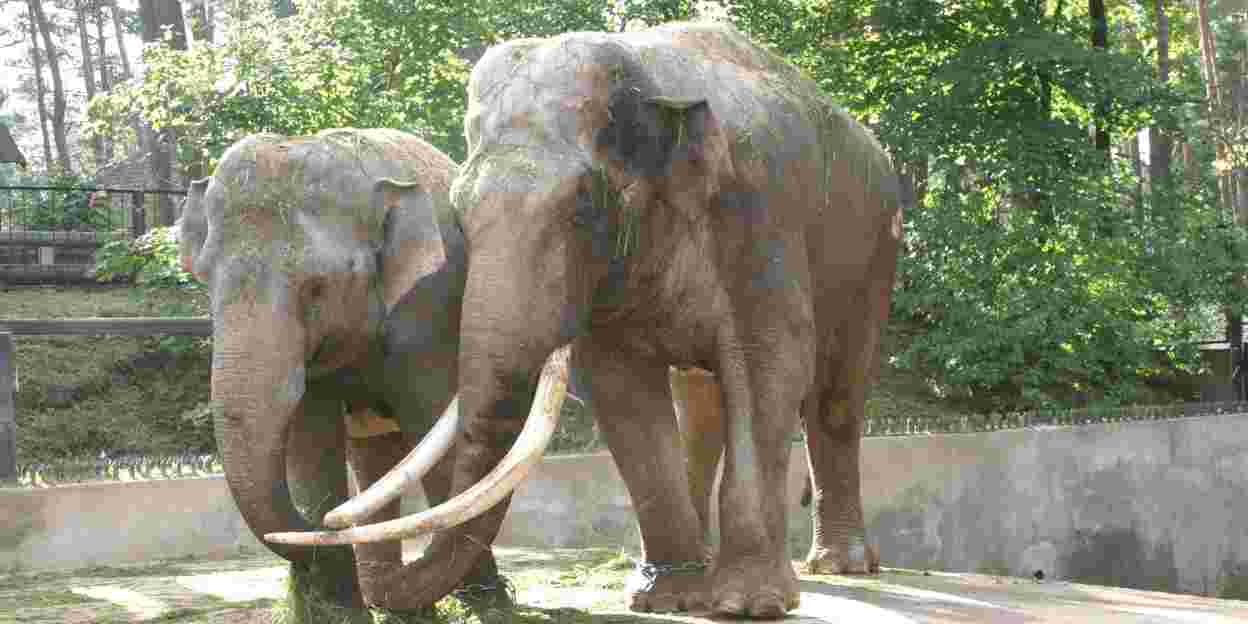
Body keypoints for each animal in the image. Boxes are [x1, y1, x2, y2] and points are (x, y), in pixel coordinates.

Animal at [178, 128, 509, 611]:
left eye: (317, 287)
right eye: (205, 280)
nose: (330, 525)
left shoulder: (430, 312)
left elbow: (433, 432)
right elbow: (311, 440)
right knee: (374, 456)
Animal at [269, 22, 901, 619]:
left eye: (581, 206)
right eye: (461, 213)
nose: (328, 521)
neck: (648, 75)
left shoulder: (759, 220)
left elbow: (770, 371)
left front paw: (749, 606)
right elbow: (622, 392)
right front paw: (666, 601)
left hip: (874, 248)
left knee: (835, 395)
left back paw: (839, 565)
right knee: (699, 402)